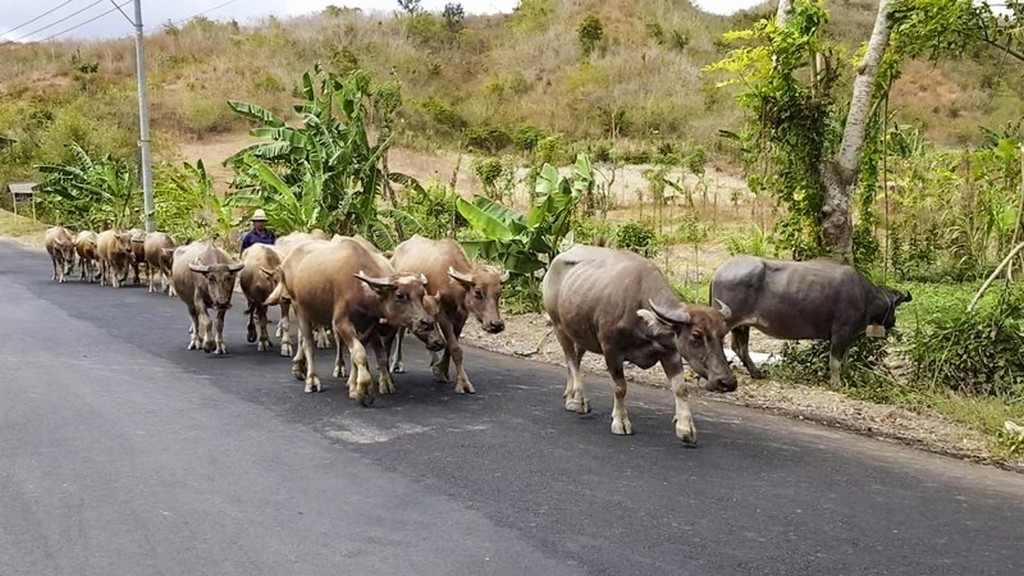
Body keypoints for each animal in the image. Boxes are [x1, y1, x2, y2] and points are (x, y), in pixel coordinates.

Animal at [385, 231, 505, 389]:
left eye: (498, 293)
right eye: (478, 292)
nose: (496, 324)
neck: (453, 284)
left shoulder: (461, 316)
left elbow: (450, 344)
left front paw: (441, 369)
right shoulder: (442, 314)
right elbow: (454, 347)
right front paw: (462, 382)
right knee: (400, 333)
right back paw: (397, 363)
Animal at [544, 241, 737, 444]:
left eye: (722, 335)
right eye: (696, 335)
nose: (727, 382)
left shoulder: (670, 351)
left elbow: (681, 389)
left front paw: (685, 428)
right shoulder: (611, 349)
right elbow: (620, 387)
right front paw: (620, 422)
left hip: (581, 333)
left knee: (575, 359)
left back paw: (569, 396)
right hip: (559, 326)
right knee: (571, 361)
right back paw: (578, 400)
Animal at [712, 255, 913, 385]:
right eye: (896, 307)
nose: (893, 321)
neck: (866, 297)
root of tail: (719, 272)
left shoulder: (846, 337)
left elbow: (844, 361)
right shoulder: (841, 333)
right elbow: (835, 363)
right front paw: (836, 384)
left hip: (743, 325)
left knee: (740, 347)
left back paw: (756, 373)